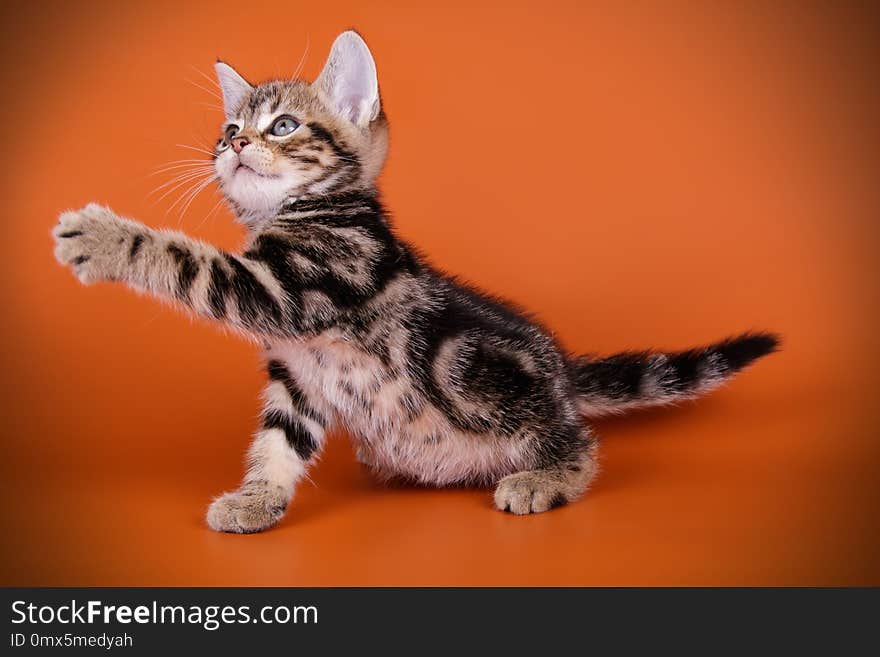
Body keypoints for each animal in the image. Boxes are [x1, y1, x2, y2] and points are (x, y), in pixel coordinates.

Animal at [51, 32, 776, 532]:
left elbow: (184, 260)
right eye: (230, 126)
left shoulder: (290, 287)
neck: (308, 209)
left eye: (283, 125)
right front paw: (257, 500)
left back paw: (547, 476)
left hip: (466, 367)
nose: (233, 145)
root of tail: (563, 372)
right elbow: (279, 438)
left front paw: (103, 237)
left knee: (576, 438)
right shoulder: (299, 371)